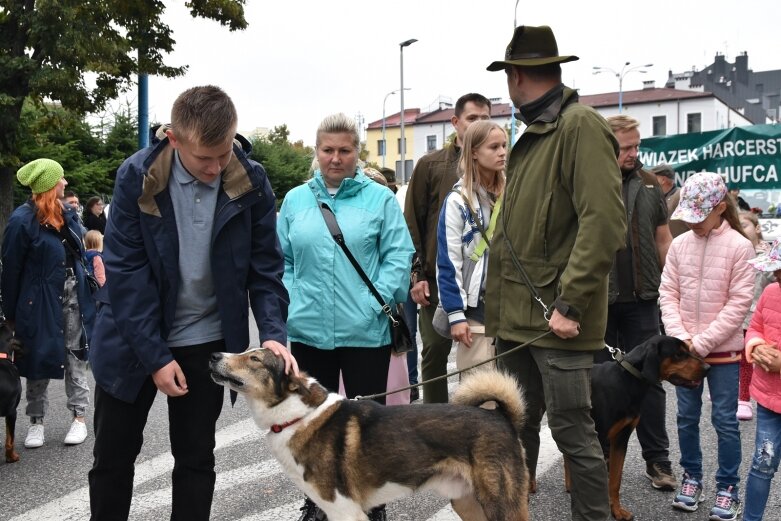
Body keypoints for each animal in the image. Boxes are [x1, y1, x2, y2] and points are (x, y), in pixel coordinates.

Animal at [209, 346, 532, 520]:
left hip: (501, 504)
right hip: (468, 502)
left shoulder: (345, 511)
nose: (213, 355)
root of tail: (501, 417)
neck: (297, 415)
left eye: (255, 360)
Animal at [568, 336, 708, 520]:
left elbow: (615, 481)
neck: (626, 381)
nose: (708, 368)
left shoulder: (621, 438)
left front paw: (617, 510)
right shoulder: (599, 440)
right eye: (678, 354)